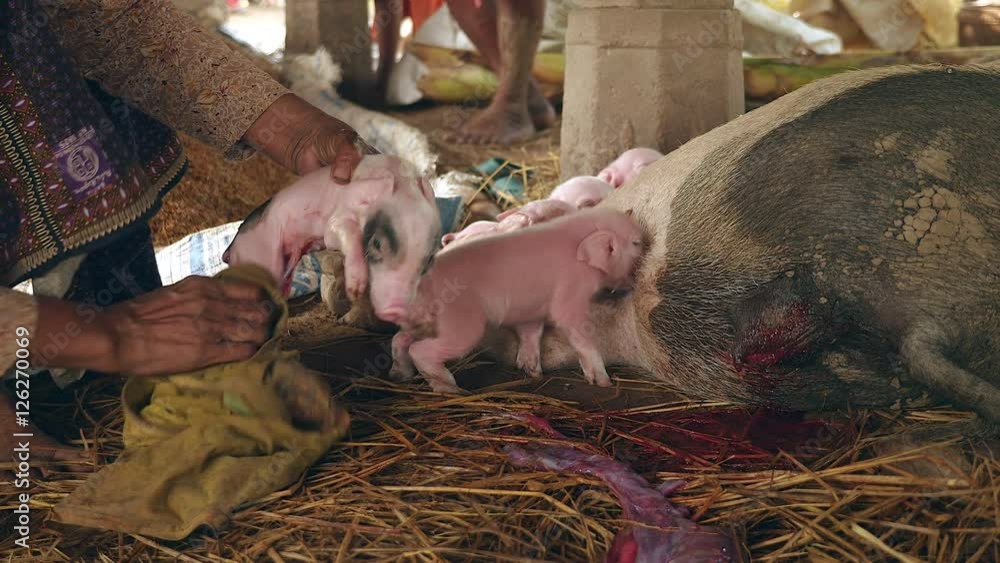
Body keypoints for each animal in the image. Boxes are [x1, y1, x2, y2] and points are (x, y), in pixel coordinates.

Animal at [222, 154, 440, 324]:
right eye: (377, 244)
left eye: (429, 258)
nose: (397, 311)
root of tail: (230, 249)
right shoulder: (336, 218)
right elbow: (344, 232)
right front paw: (355, 289)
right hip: (259, 258)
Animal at [389, 207, 645, 394]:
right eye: (635, 243)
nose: (633, 283)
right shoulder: (570, 291)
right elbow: (577, 330)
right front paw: (604, 382)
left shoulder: (531, 309)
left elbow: (531, 333)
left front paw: (533, 372)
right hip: (461, 325)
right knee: (420, 350)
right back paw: (451, 389)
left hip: (426, 324)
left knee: (399, 338)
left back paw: (399, 374)